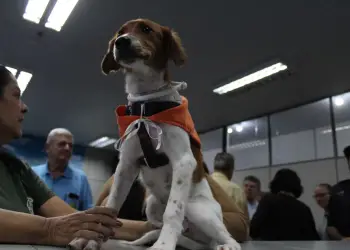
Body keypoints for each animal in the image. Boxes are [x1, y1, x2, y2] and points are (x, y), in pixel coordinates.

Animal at [69, 18, 242, 250]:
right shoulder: (126, 165)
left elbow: (173, 211)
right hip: (151, 204)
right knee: (164, 227)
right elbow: (111, 207)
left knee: (222, 235)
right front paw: (90, 238)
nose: (121, 42)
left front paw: (164, 245)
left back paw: (226, 245)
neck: (146, 105)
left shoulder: (183, 161)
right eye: (119, 33)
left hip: (197, 209)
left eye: (146, 29)